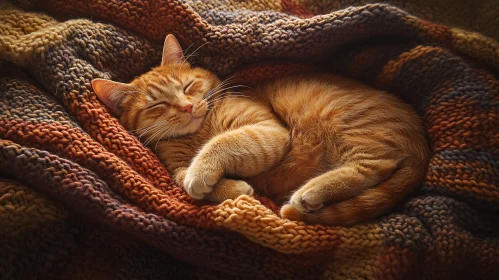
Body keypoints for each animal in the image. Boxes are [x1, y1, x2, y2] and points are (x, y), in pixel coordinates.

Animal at [93, 34, 430, 225]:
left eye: (187, 86)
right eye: (158, 105)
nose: (187, 108)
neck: (198, 132)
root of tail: (420, 139)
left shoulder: (266, 130)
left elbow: (221, 144)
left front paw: (204, 174)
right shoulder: (174, 166)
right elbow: (183, 177)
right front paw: (234, 189)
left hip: (348, 128)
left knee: (373, 168)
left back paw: (309, 193)